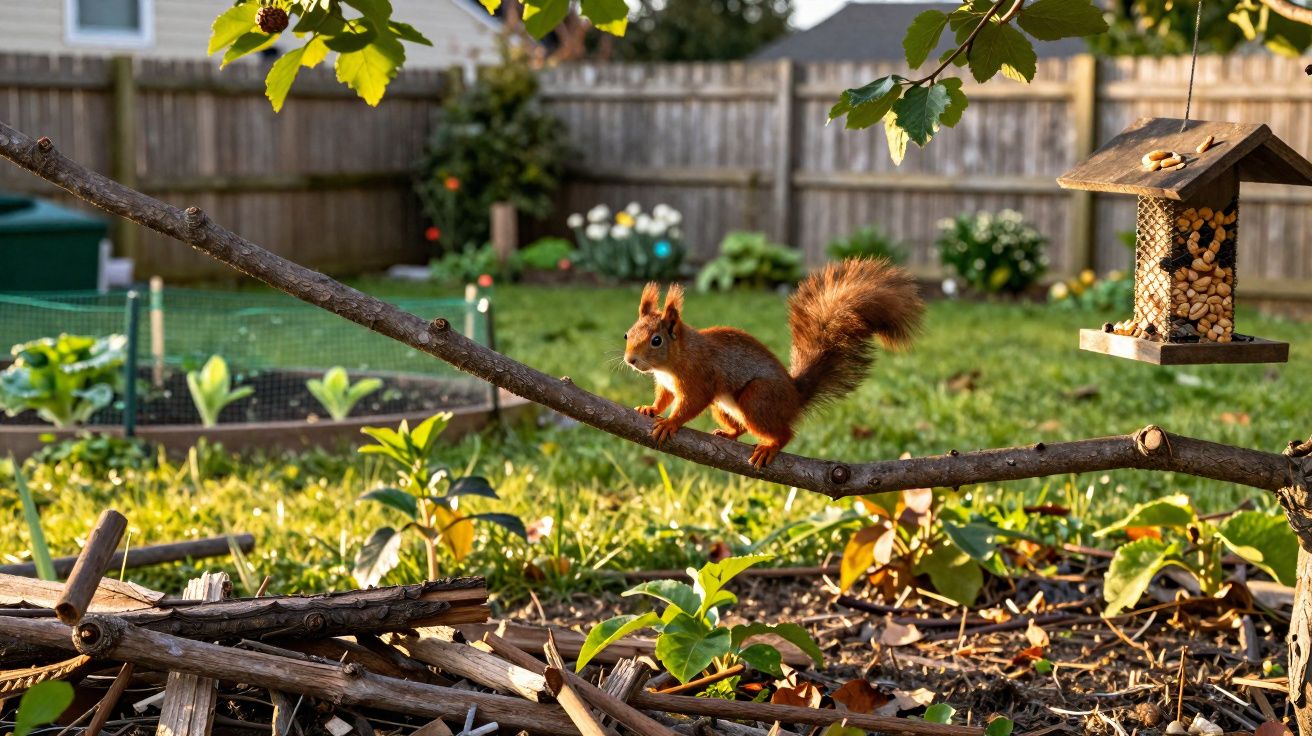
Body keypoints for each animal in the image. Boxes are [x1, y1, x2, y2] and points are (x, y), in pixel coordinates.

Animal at [623, 257, 924, 468]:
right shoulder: (666, 383)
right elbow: (664, 397)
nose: (630, 360)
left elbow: (692, 403)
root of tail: (794, 396)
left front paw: (671, 422)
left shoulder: (699, 376)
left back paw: (770, 446)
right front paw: (651, 409)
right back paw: (729, 434)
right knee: (742, 426)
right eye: (627, 334)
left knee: (784, 432)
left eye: (657, 340)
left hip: (758, 399)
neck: (673, 361)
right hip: (723, 406)